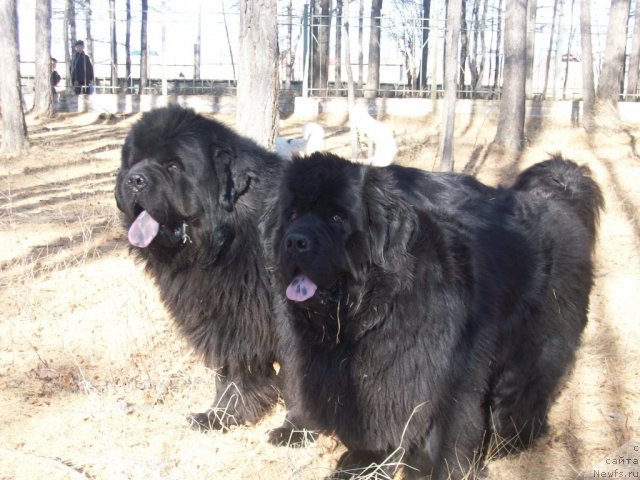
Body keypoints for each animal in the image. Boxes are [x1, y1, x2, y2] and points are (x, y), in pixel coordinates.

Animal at [115, 106, 284, 432]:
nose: (134, 180)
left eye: (173, 166)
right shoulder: (224, 315)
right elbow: (229, 368)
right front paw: (222, 414)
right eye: (132, 161)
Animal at [262, 154, 604, 480]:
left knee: (524, 388)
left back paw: (509, 441)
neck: (366, 314)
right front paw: (361, 461)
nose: (294, 241)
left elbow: (439, 431)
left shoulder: (441, 375)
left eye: (337, 217)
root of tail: (558, 199)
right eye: (291, 215)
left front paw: (435, 471)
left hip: (539, 340)